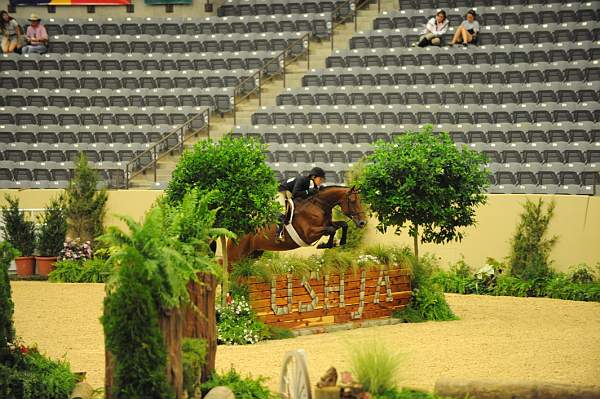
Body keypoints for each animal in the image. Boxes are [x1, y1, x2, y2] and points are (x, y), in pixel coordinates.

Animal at [227, 185, 368, 266]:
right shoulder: (309, 234)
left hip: (253, 255)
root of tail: (235, 232)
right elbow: (332, 229)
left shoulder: (326, 224)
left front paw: (339, 242)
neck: (318, 206)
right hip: (236, 257)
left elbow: (342, 225)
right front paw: (326, 245)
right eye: (352, 201)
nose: (363, 223)